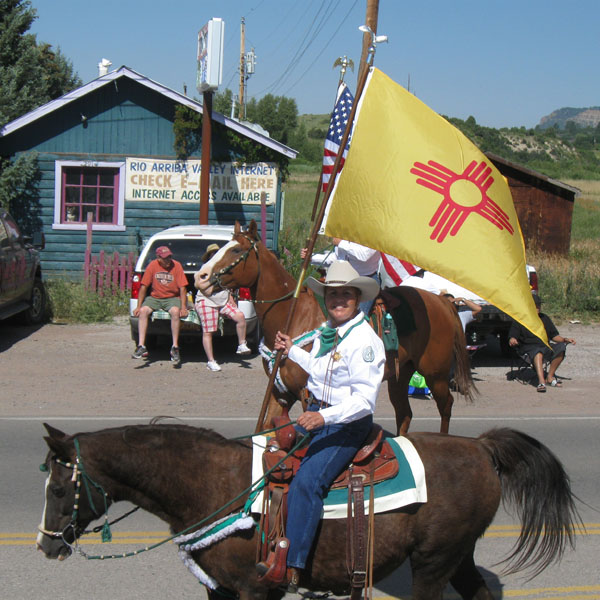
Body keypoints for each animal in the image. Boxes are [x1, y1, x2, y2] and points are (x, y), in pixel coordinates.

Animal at [38, 422, 580, 600]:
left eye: (61, 487)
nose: (46, 544)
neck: (212, 483)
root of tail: (481, 448)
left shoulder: (256, 590)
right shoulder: (220, 590)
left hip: (433, 563)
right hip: (458, 557)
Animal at [197, 218, 474, 434]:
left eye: (236, 251)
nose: (201, 277)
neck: (293, 313)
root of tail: (442, 300)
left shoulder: (307, 394)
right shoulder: (279, 392)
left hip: (436, 374)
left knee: (446, 406)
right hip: (400, 375)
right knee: (404, 413)